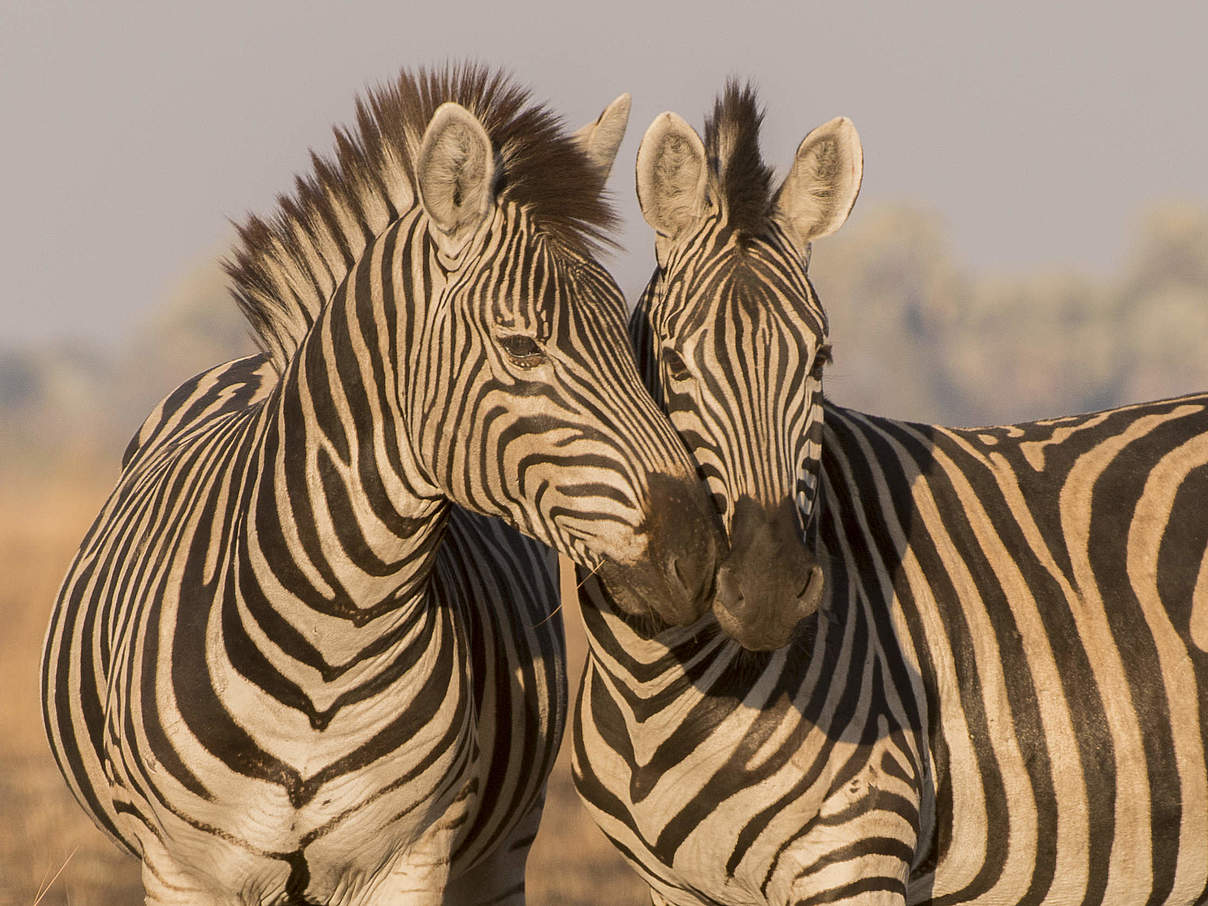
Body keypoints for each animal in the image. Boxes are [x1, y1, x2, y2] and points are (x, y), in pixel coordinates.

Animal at [40, 65, 724, 906]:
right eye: (522, 348)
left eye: (631, 343)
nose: (700, 553)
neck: (330, 644)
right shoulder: (182, 870)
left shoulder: (409, 857)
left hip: (503, 848)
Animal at [567, 79, 1208, 906]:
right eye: (676, 365)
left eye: (820, 359)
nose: (768, 590)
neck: (653, 680)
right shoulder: (673, 888)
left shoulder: (855, 852)